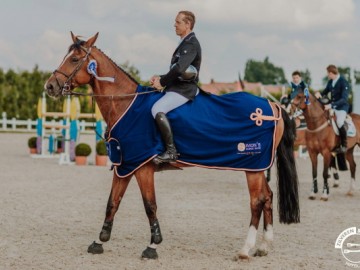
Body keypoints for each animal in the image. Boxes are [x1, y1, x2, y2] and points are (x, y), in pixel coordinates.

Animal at [43, 32, 300, 260]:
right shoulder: (124, 165)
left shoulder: (143, 167)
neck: (125, 103)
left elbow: (150, 206)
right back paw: (263, 247)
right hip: (257, 168)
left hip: (252, 166)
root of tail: (271, 106)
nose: (50, 86)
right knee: (268, 197)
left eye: (74, 59)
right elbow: (112, 203)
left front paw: (152, 246)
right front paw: (99, 241)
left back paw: (245, 250)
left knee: (257, 201)